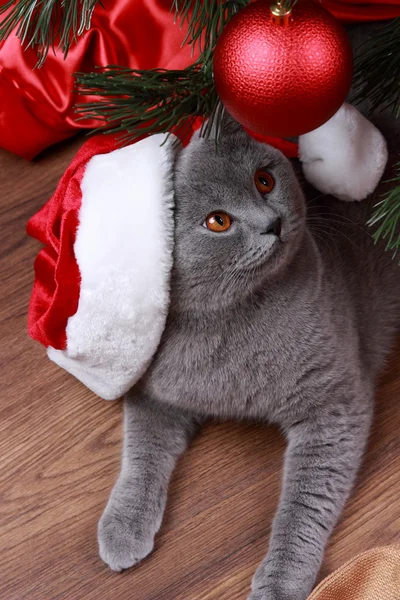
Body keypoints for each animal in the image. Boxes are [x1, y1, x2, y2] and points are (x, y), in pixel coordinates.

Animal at [96, 89, 400, 600]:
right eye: (218, 221)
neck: (232, 321)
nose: (272, 223)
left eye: (264, 180)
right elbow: (140, 451)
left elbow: (305, 500)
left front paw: (281, 579)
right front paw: (122, 525)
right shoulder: (154, 386)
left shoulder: (335, 403)